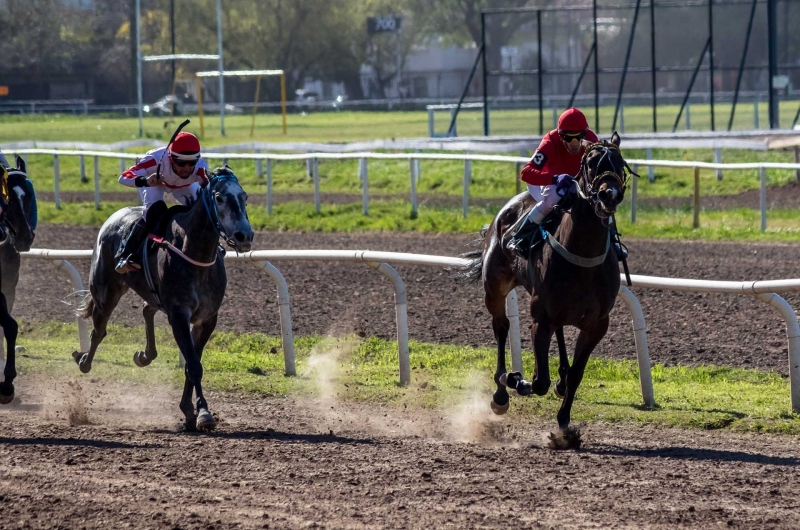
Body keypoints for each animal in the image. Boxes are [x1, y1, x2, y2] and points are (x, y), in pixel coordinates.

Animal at [76, 166, 253, 428]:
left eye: (244, 197)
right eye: (219, 198)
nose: (245, 236)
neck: (195, 254)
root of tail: (115, 216)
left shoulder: (207, 318)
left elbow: (192, 362)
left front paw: (192, 410)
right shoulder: (179, 314)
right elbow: (193, 365)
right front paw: (202, 413)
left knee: (146, 309)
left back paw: (145, 355)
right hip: (106, 291)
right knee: (99, 330)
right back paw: (84, 360)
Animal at [466, 132, 636, 446]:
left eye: (621, 164)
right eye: (591, 164)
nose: (610, 194)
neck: (583, 255)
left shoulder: (597, 324)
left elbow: (576, 376)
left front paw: (565, 427)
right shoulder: (540, 319)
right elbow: (538, 382)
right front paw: (516, 380)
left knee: (557, 340)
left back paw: (559, 377)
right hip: (494, 288)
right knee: (501, 327)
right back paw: (501, 392)